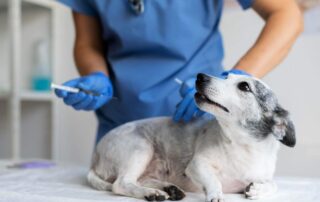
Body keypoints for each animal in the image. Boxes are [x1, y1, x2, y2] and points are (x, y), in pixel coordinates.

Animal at [87, 73, 296, 202]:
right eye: (226, 76)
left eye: (244, 86)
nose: (201, 76)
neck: (243, 148)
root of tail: (94, 158)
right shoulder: (197, 165)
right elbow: (214, 181)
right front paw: (216, 195)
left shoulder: (263, 174)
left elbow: (273, 184)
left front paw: (258, 189)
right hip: (141, 148)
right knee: (121, 184)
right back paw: (152, 193)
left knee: (138, 179)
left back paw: (169, 189)